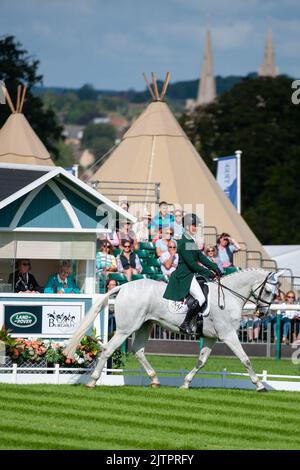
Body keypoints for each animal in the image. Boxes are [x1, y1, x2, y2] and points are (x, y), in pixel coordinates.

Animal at [65, 270, 282, 392]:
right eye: (268, 291)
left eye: (275, 293)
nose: (263, 313)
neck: (228, 297)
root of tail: (124, 287)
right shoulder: (228, 335)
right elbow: (246, 359)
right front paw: (259, 385)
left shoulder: (211, 337)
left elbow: (201, 361)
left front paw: (185, 383)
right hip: (126, 328)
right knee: (108, 349)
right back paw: (92, 382)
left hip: (145, 325)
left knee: (138, 350)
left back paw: (155, 380)